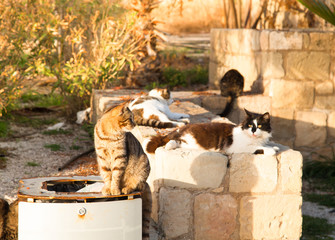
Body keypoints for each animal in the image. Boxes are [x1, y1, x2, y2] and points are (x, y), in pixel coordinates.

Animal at [94, 103, 152, 240]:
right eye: (130, 118)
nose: (135, 124)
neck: (109, 135)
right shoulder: (102, 159)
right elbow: (107, 176)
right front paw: (108, 188)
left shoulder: (119, 158)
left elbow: (115, 176)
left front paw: (114, 189)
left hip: (143, 165)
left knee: (138, 184)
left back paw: (126, 188)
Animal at [144, 109, 280, 156]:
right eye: (251, 125)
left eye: (259, 126)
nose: (253, 131)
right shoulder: (239, 148)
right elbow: (260, 148)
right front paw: (271, 150)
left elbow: (266, 145)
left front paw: (274, 146)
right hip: (181, 137)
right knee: (170, 141)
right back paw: (168, 146)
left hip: (188, 143)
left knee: (176, 142)